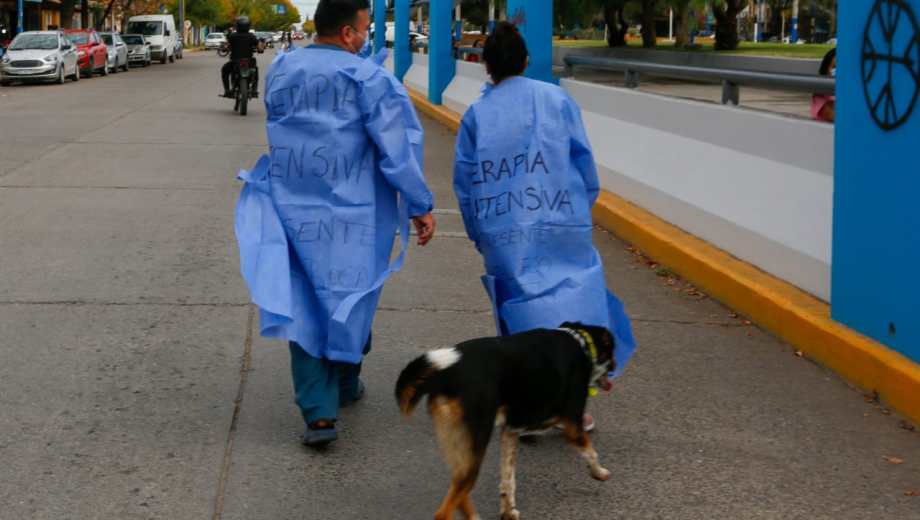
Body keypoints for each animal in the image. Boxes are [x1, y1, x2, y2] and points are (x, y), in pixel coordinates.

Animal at [395, 322, 616, 520]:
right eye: (612, 353)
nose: (614, 369)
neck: (581, 342)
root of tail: (445, 375)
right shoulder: (572, 425)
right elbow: (591, 452)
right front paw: (600, 472)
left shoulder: (510, 432)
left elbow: (508, 480)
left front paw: (508, 512)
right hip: (475, 442)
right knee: (444, 511)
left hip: (459, 445)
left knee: (459, 490)